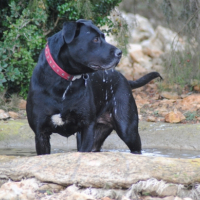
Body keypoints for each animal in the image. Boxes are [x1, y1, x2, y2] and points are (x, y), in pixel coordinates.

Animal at [26, 19, 162, 155]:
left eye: (104, 37)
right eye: (95, 39)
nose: (120, 53)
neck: (64, 82)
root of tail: (123, 78)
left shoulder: (86, 128)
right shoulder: (41, 133)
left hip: (128, 129)